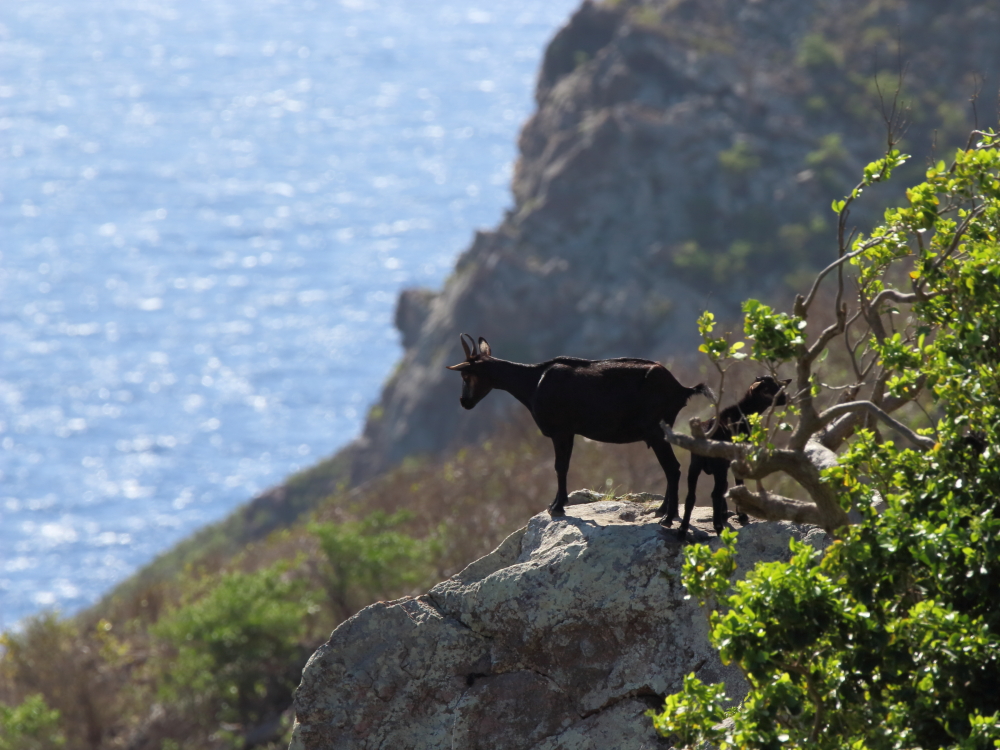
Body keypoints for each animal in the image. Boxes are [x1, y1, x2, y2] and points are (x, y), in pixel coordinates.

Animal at [446, 338, 712, 520]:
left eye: (467, 375)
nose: (464, 401)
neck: (533, 383)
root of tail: (681, 388)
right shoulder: (570, 432)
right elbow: (563, 465)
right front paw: (556, 504)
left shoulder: (561, 430)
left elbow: (560, 466)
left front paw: (557, 507)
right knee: (670, 468)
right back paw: (661, 511)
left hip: (656, 431)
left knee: (673, 468)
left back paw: (667, 516)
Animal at [672, 376, 788, 540]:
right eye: (767, 390)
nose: (785, 397)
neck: (742, 414)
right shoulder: (737, 457)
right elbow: (737, 482)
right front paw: (741, 516)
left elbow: (725, 487)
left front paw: (725, 513)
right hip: (717, 465)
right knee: (714, 494)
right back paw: (718, 528)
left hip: (695, 465)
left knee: (691, 497)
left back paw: (682, 530)